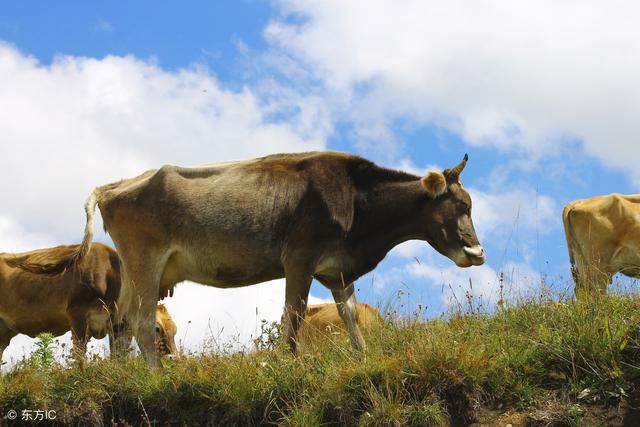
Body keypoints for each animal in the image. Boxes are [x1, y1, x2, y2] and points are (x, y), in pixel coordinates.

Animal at [0, 242, 178, 366]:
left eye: (175, 330)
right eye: (157, 328)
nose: (173, 358)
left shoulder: (116, 324)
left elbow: (118, 356)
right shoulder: (76, 314)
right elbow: (80, 354)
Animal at [74, 150, 484, 368]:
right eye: (461, 206)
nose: (477, 252)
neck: (355, 200)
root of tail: (118, 184)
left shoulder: (337, 271)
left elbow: (351, 317)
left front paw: (363, 358)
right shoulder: (300, 259)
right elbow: (294, 316)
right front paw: (290, 364)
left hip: (133, 272)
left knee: (122, 325)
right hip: (146, 261)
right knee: (143, 324)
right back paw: (157, 374)